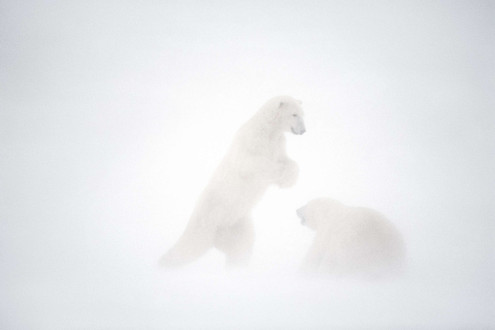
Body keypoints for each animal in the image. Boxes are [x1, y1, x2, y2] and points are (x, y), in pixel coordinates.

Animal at [159, 95, 306, 268]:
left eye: (303, 113)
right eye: (294, 114)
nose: (303, 130)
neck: (268, 130)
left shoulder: (278, 145)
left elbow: (288, 161)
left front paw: (288, 178)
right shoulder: (251, 143)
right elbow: (252, 162)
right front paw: (280, 174)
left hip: (237, 224)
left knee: (241, 247)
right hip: (209, 217)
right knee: (192, 245)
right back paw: (165, 261)